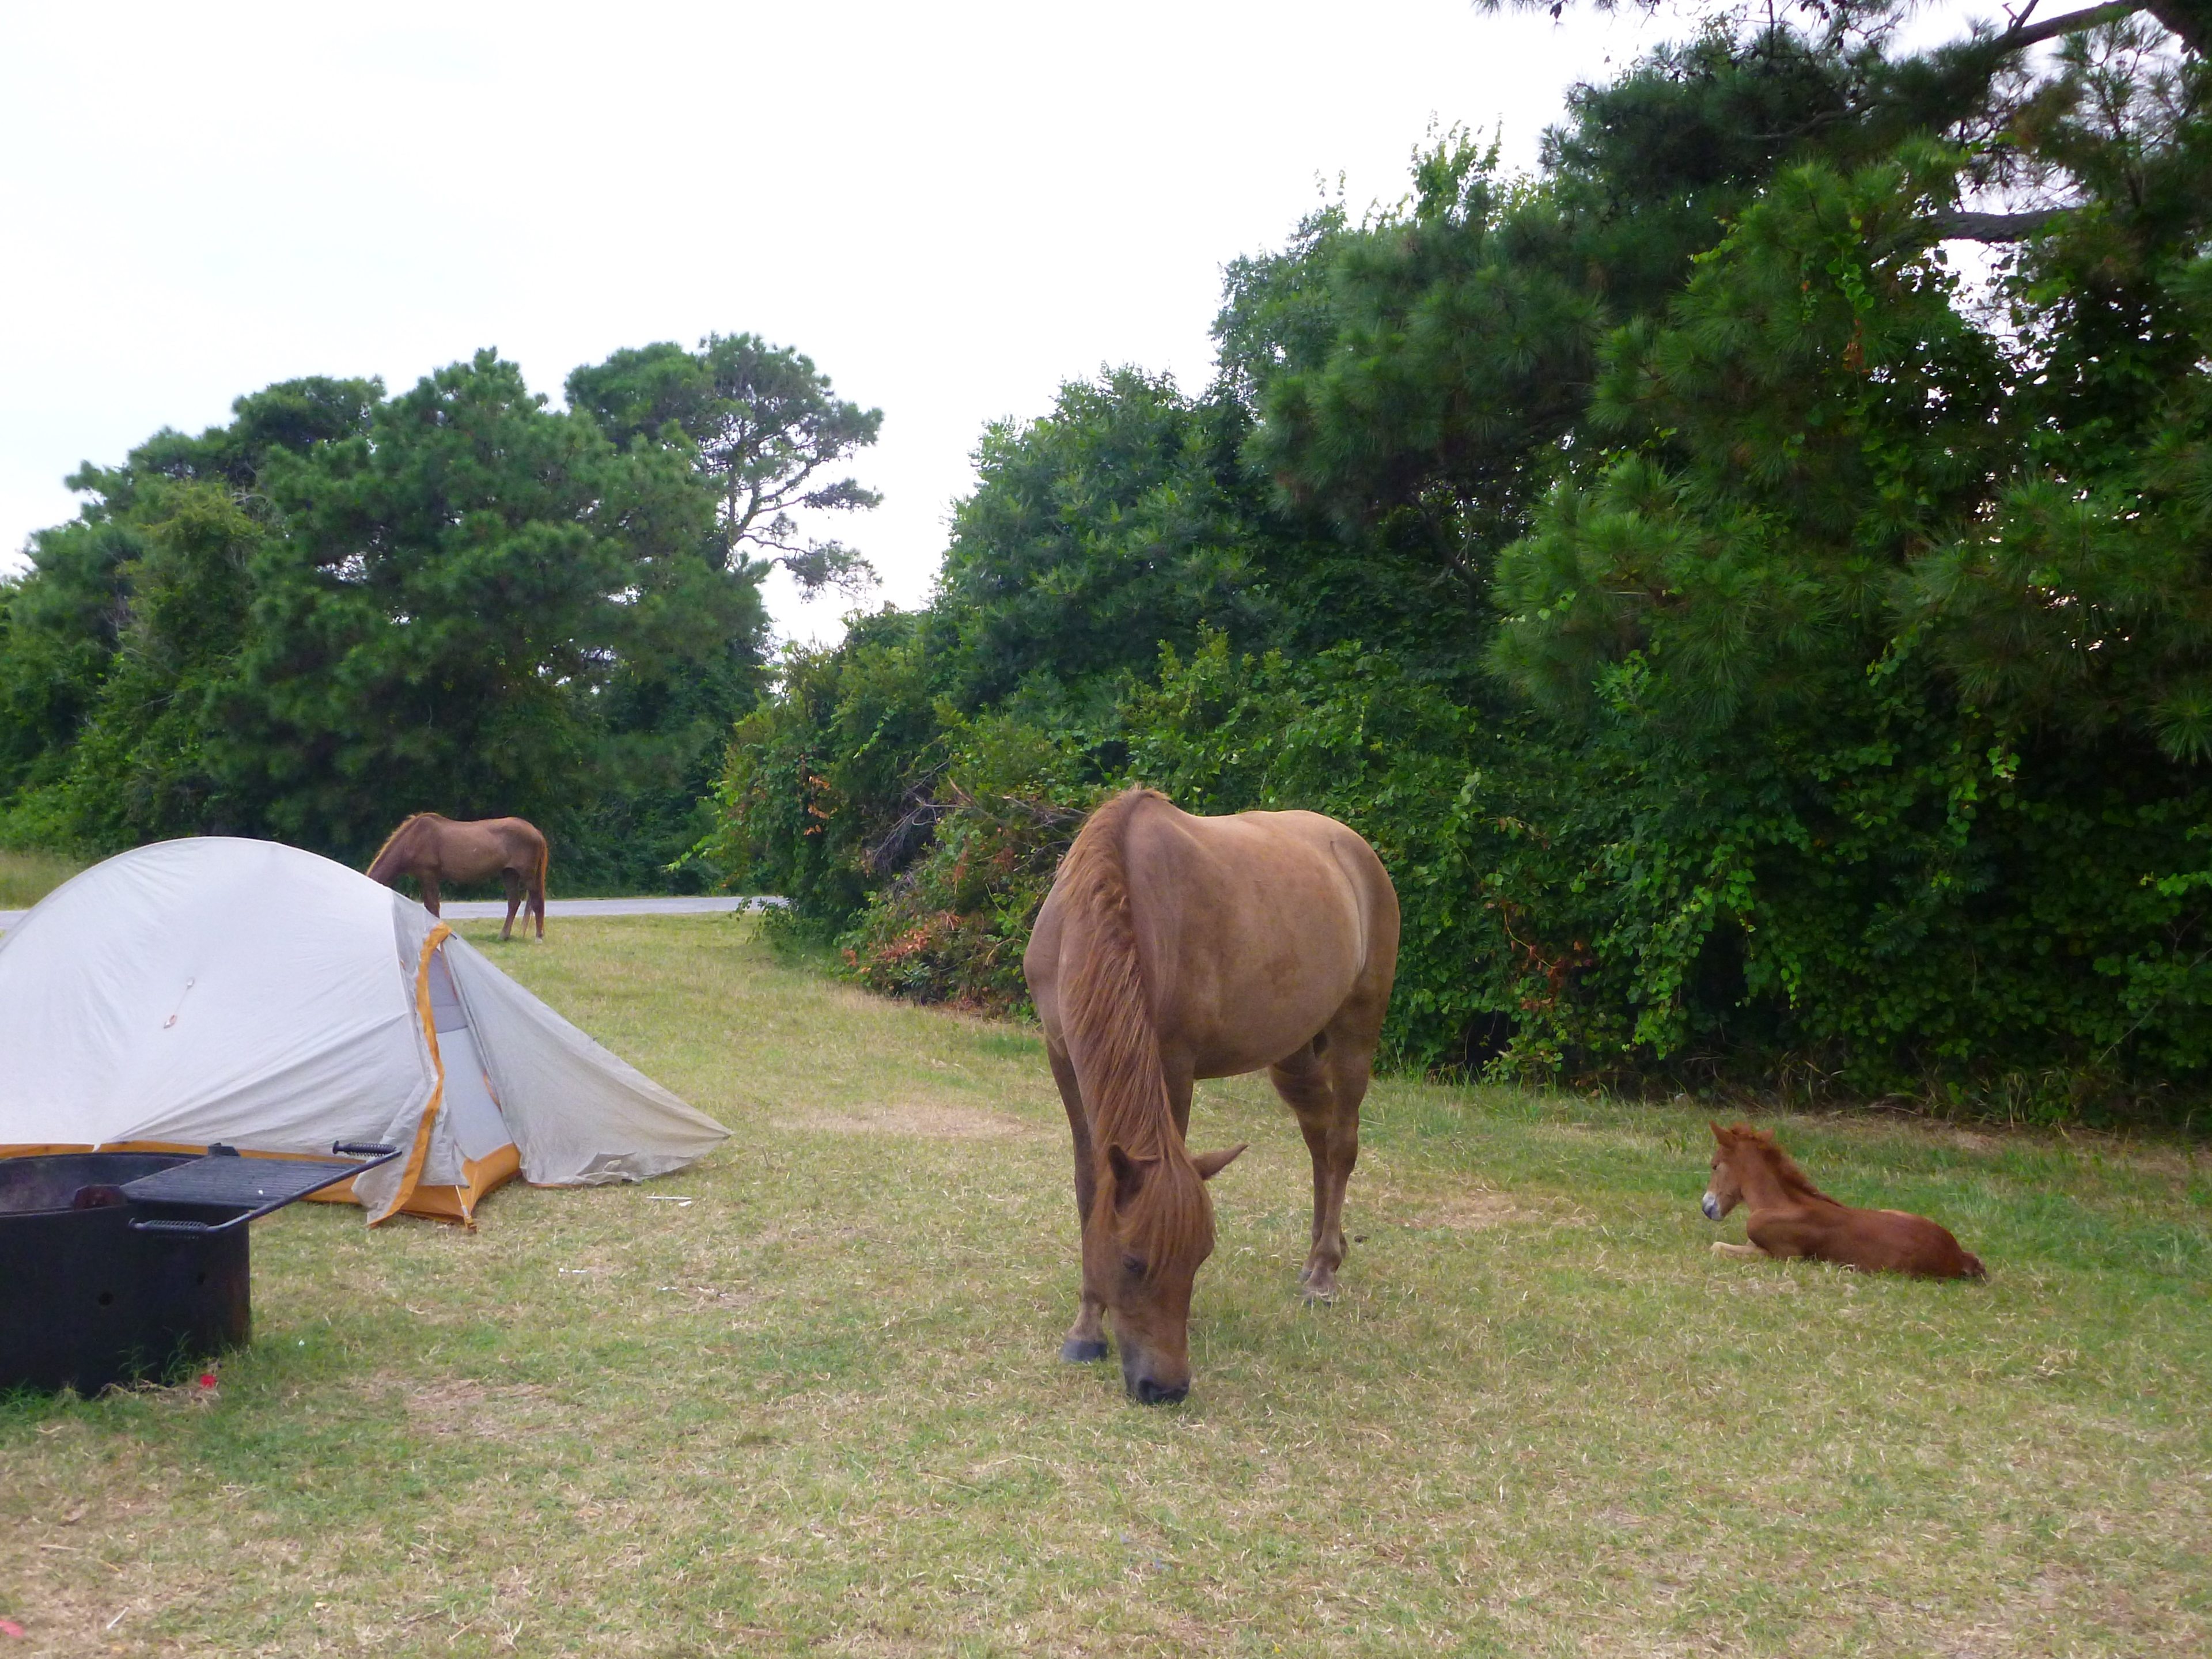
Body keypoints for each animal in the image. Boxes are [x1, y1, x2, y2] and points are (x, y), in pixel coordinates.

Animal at [366, 814, 550, 941]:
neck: (414, 838)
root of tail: (536, 832)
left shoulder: (428, 875)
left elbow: (432, 907)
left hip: (527, 875)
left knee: (537, 901)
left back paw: (539, 937)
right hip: (509, 873)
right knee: (514, 902)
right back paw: (503, 936)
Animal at [1022, 788, 1400, 1405]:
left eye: (1199, 1259)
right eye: (1133, 1262)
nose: (1165, 1387)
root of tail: (1357, 849)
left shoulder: (1174, 1064)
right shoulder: (1062, 1057)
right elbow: (1088, 1185)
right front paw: (1085, 1330)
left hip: (1356, 1030)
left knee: (1342, 1145)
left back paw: (1323, 1271)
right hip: (1295, 1052)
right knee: (1319, 1139)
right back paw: (1323, 1252)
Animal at [1702, 1122, 1985, 1280]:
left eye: (1715, 1166)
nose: (1706, 1207)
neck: (1780, 1203)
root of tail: (1958, 1255)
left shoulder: (1783, 1256)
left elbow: (1716, 1247)